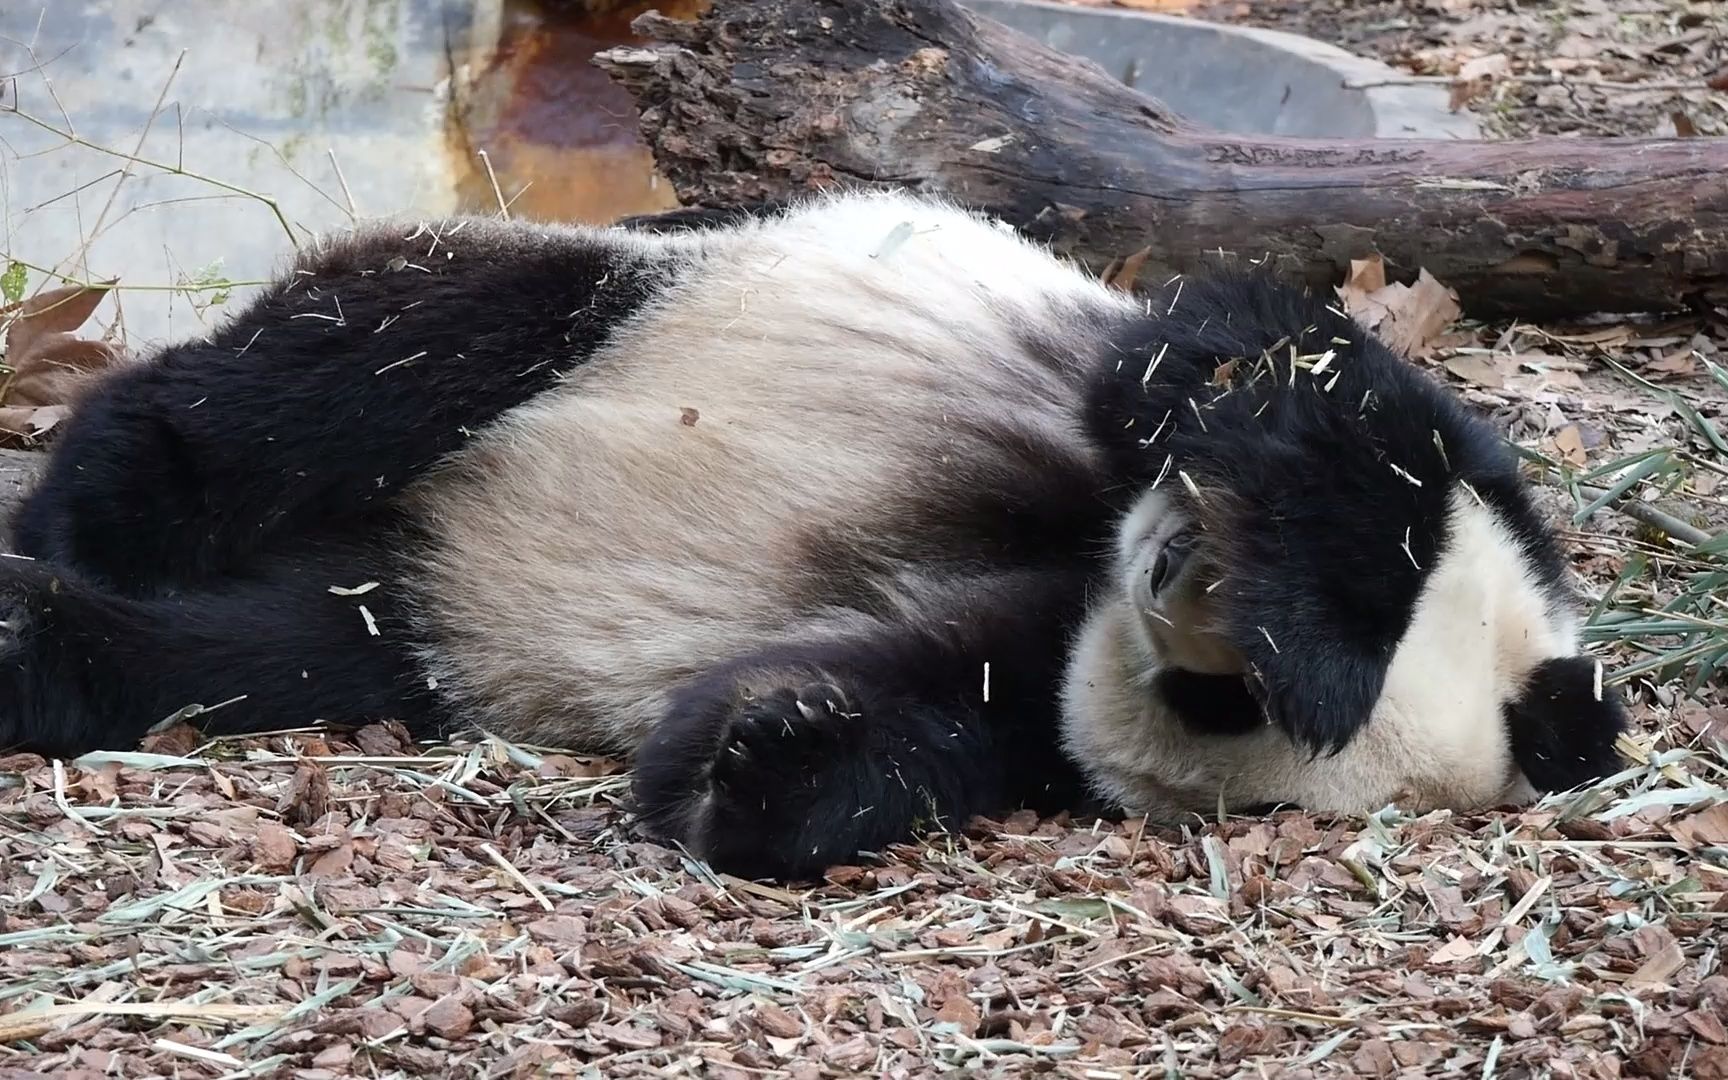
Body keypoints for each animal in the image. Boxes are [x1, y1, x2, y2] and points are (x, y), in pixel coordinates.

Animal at [0, 187, 1624, 877]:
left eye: (1212, 702)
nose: (1170, 567)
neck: (1083, 554)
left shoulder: (1036, 671)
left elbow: (912, 707)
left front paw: (747, 757)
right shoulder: (1194, 387)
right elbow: (1232, 359)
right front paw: (1329, 614)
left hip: (391, 629)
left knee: (270, 650)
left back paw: (52, 641)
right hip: (621, 302)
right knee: (375, 359)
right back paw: (101, 499)